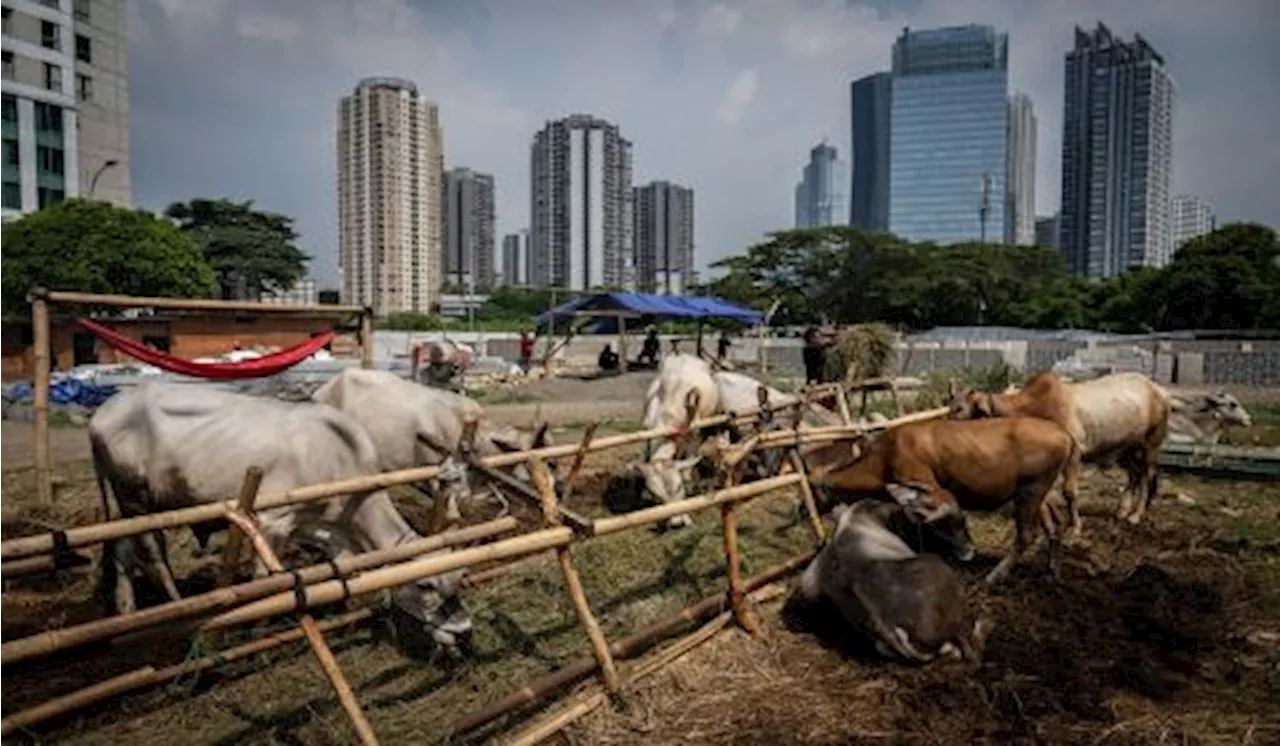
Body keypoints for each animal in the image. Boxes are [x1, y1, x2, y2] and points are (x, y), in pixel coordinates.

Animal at [88, 386, 476, 655]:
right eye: (425, 585)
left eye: (459, 576)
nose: (465, 630)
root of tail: (105, 410)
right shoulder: (272, 522)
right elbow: (267, 581)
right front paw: (258, 632)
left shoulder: (325, 530)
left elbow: (347, 572)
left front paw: (350, 618)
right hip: (134, 497)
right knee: (151, 550)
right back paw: (177, 605)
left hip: (129, 507)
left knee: (123, 550)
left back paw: (126, 610)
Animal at [814, 417, 1075, 586]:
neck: (884, 457)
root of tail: (1062, 433)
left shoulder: (930, 487)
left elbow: (941, 514)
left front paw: (964, 551)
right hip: (1041, 494)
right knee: (1055, 524)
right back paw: (1053, 572)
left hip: (1030, 491)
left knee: (1026, 535)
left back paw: (993, 576)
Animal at [952, 371, 1172, 537]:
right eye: (951, 404)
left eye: (961, 409)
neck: (1033, 406)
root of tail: (1158, 390)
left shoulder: (1074, 454)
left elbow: (1069, 491)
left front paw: (1075, 527)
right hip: (1127, 448)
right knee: (1134, 475)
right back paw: (1122, 511)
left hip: (1151, 443)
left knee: (1147, 476)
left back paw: (1136, 515)